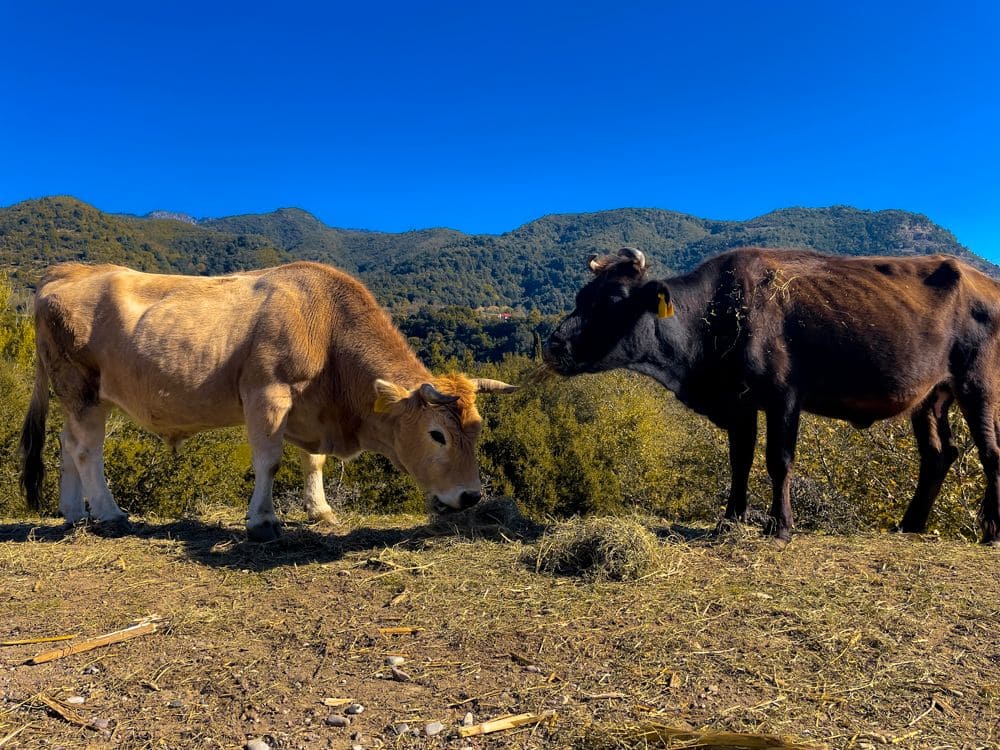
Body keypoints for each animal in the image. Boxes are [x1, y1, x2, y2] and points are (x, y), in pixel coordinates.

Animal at [19, 262, 520, 540]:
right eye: (437, 435)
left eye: (476, 431)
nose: (470, 495)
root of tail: (67, 271)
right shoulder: (267, 393)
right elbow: (269, 461)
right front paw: (262, 521)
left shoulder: (308, 410)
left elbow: (313, 462)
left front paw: (320, 510)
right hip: (82, 388)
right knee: (87, 450)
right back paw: (109, 514)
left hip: (78, 396)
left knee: (66, 444)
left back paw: (71, 513)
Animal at [544, 247, 1000, 548]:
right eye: (581, 296)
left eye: (614, 299)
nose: (552, 345)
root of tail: (982, 279)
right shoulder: (739, 402)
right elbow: (740, 461)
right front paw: (729, 520)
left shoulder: (784, 396)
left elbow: (778, 461)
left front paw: (780, 527)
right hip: (931, 397)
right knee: (939, 454)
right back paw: (911, 524)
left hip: (979, 384)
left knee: (989, 452)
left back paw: (990, 531)